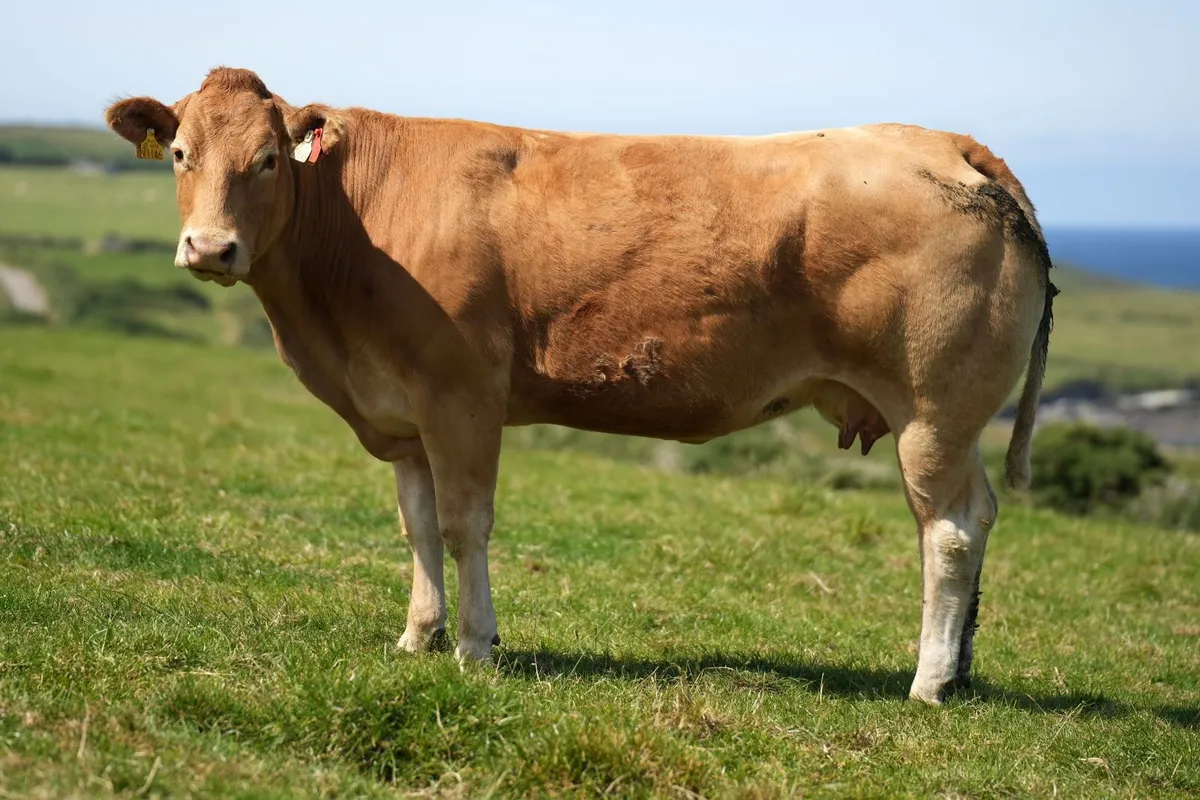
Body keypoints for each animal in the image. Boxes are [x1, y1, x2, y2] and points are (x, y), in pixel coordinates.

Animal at [104, 67, 1056, 705]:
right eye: (180, 152)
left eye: (269, 159)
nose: (209, 248)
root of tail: (947, 142)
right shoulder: (400, 411)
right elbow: (417, 526)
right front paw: (418, 636)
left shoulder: (461, 394)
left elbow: (464, 524)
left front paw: (477, 646)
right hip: (951, 420)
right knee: (977, 518)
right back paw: (961, 669)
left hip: (933, 409)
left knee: (949, 531)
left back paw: (928, 681)